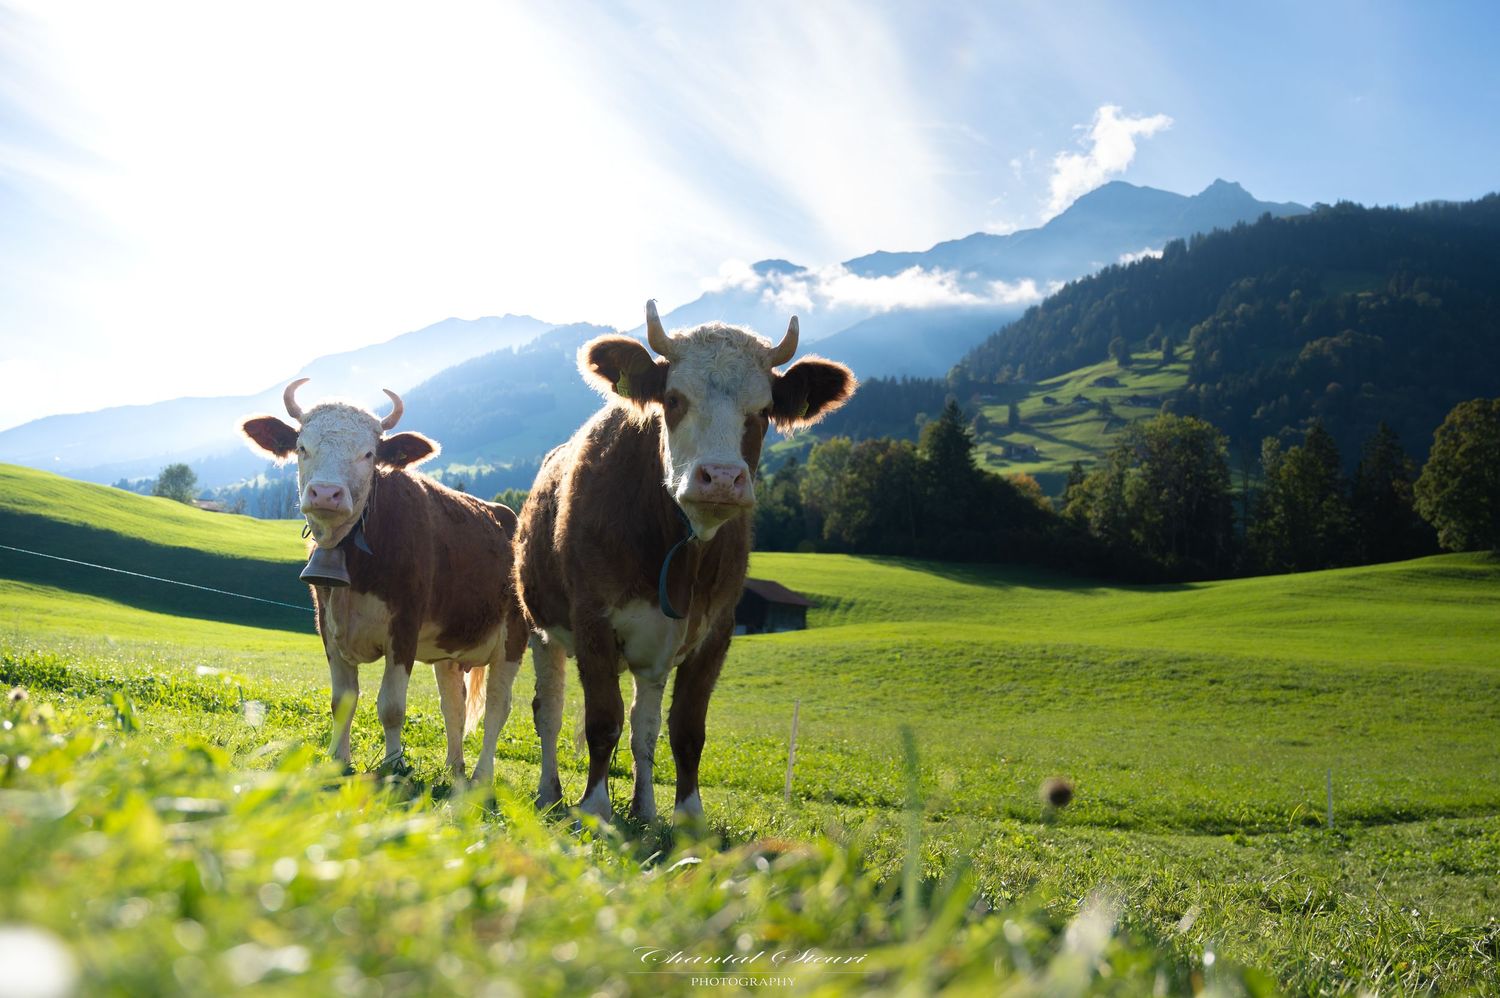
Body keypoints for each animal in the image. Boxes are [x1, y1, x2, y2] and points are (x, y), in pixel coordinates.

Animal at [240, 381, 527, 789]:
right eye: (301, 447)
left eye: (369, 454)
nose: (325, 493)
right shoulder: (327, 626)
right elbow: (342, 700)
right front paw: (337, 759)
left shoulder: (404, 629)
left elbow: (391, 707)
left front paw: (394, 765)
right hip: (450, 650)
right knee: (453, 705)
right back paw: (453, 769)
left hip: (513, 638)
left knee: (498, 708)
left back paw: (480, 777)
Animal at [513, 301, 856, 822]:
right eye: (673, 399)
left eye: (763, 411)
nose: (722, 478)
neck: (678, 548)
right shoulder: (592, 619)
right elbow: (602, 720)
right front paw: (594, 807)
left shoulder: (715, 630)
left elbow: (685, 729)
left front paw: (688, 816)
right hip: (541, 628)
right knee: (548, 711)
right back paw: (550, 793)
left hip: (652, 654)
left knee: (645, 726)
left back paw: (645, 810)